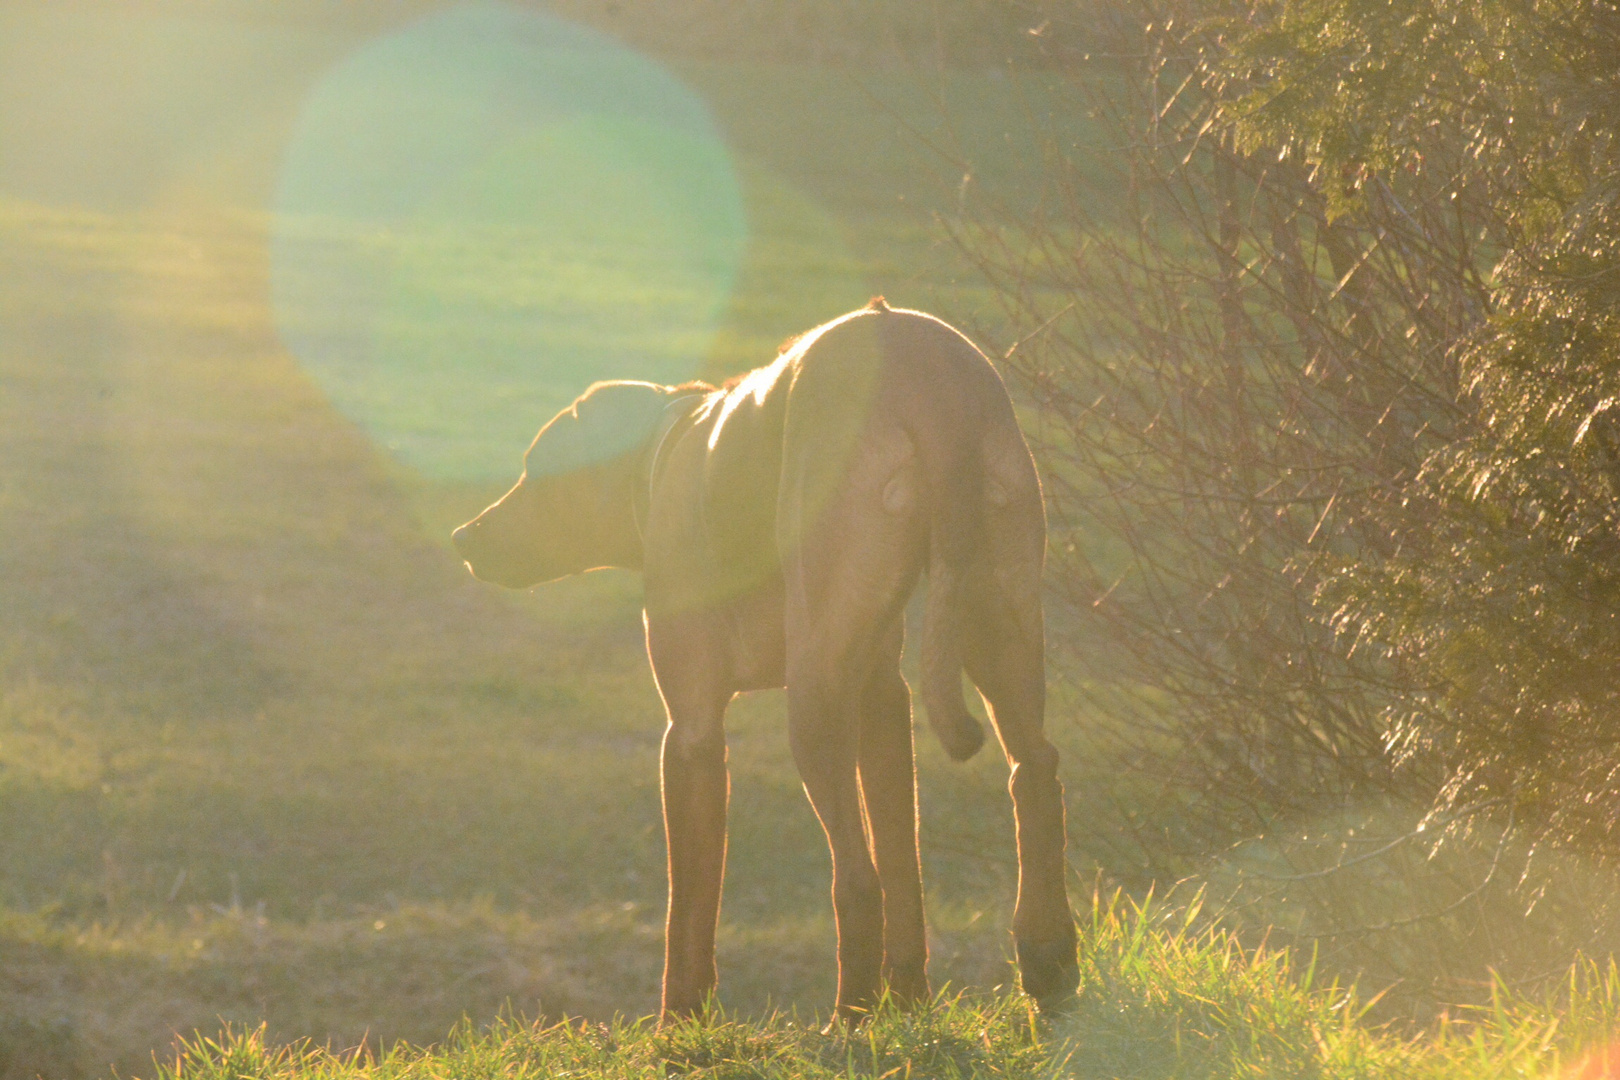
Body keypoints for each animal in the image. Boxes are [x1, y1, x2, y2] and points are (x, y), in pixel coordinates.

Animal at [453, 302, 1075, 1023]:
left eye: (534, 467)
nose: (462, 536)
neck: (661, 448)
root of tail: (919, 362)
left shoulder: (691, 732)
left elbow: (688, 909)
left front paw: (679, 1022)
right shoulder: (881, 695)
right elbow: (903, 862)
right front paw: (910, 1006)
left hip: (813, 692)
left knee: (854, 872)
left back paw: (848, 1018)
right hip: (993, 617)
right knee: (1031, 772)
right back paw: (1046, 961)